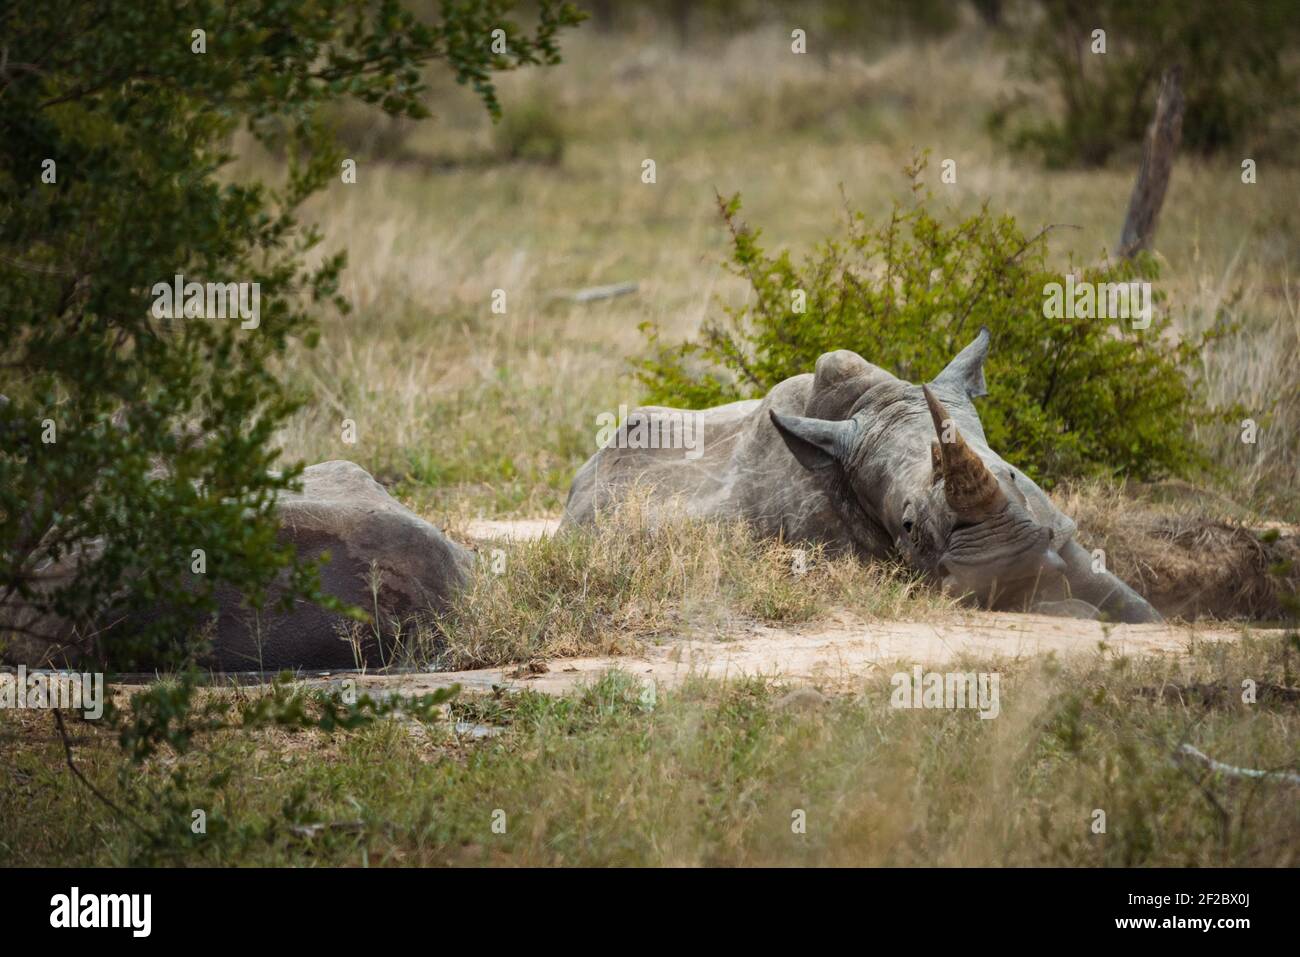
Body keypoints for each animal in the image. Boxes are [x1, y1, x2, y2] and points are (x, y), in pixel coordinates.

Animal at [564, 328, 1161, 623]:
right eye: (908, 527)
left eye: (1013, 474)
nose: (1007, 570)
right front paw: (1069, 608)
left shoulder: (1059, 534)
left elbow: (1138, 610)